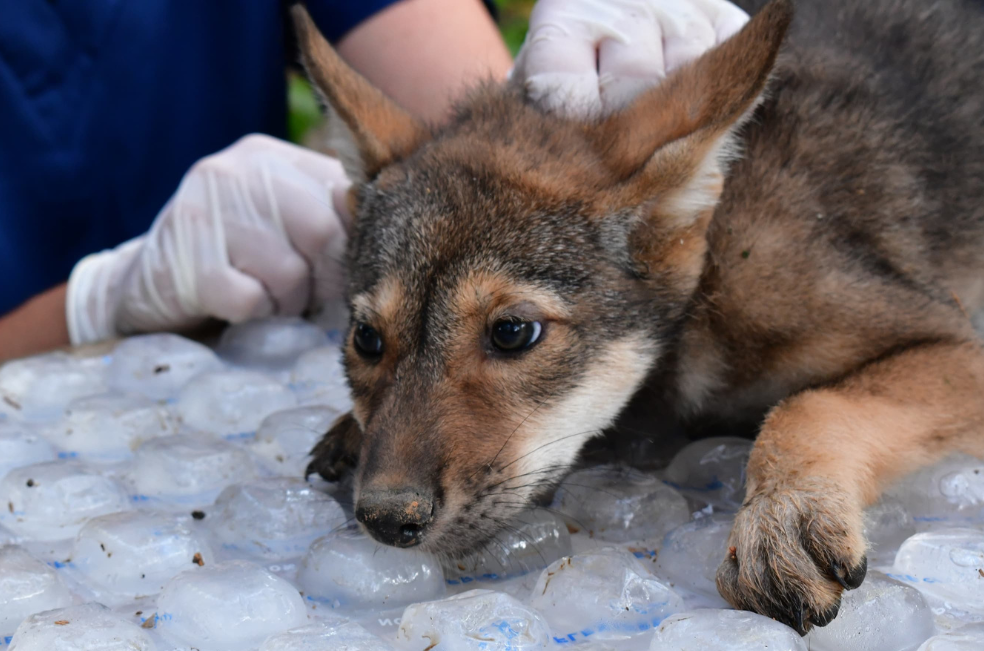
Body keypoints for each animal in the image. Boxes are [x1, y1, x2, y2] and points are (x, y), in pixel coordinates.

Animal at [296, 0, 984, 633]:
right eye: (366, 339)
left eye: (513, 332)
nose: (386, 519)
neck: (710, 277)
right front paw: (352, 426)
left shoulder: (954, 343)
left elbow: (811, 405)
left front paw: (783, 512)